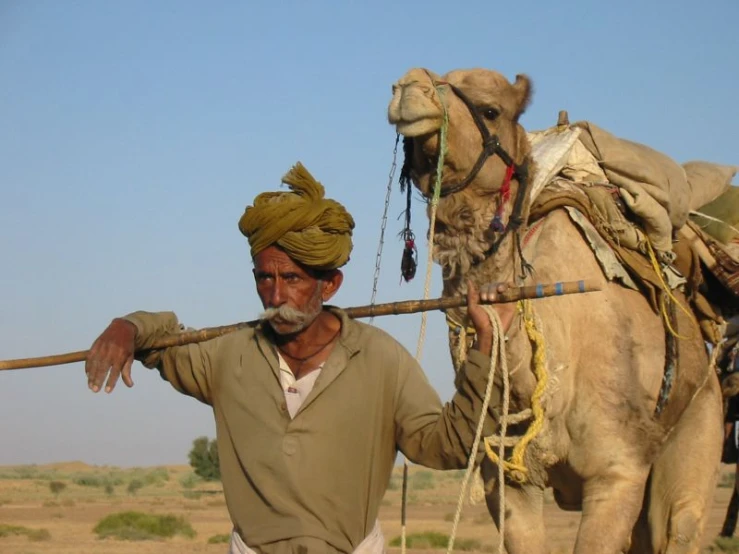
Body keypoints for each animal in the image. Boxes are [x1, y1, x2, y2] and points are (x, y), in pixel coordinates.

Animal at [390, 69, 724, 552]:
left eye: (491, 109)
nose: (409, 86)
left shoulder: (618, 471)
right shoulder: (508, 480)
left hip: (699, 419)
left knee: (680, 523)